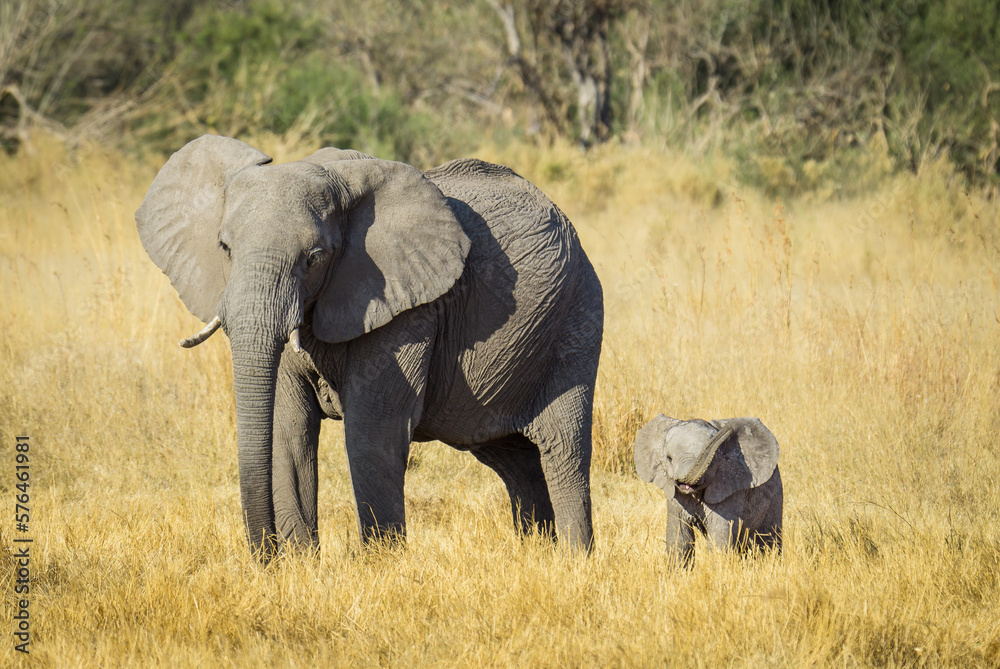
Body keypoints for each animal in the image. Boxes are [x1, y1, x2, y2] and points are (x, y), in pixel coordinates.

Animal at [135, 135, 603, 561]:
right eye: (224, 248)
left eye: (314, 257)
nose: (265, 558)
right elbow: (288, 430)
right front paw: (301, 568)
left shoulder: (409, 309)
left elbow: (372, 430)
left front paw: (382, 568)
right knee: (513, 458)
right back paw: (537, 555)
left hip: (575, 323)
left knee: (562, 451)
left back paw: (573, 563)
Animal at [633, 415, 782, 565]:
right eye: (669, 459)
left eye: (712, 461)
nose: (729, 428)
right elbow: (679, 538)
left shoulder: (728, 487)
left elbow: (719, 536)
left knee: (768, 539)